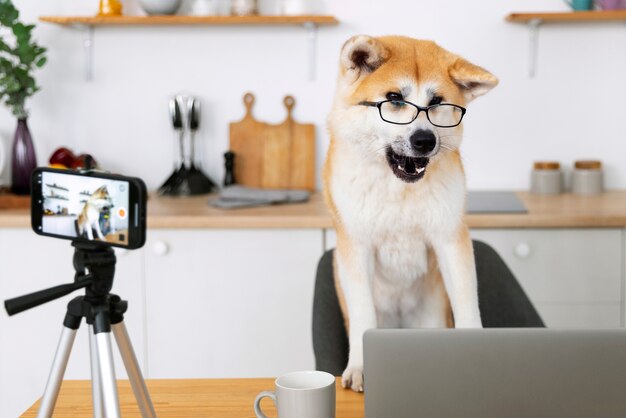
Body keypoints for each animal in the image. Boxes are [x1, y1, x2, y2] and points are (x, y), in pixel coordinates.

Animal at [322, 36, 498, 392]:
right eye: (394, 99)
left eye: (437, 102)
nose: (424, 140)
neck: (398, 188)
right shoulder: (356, 245)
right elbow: (363, 315)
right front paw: (360, 367)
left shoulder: (451, 238)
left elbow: (467, 303)